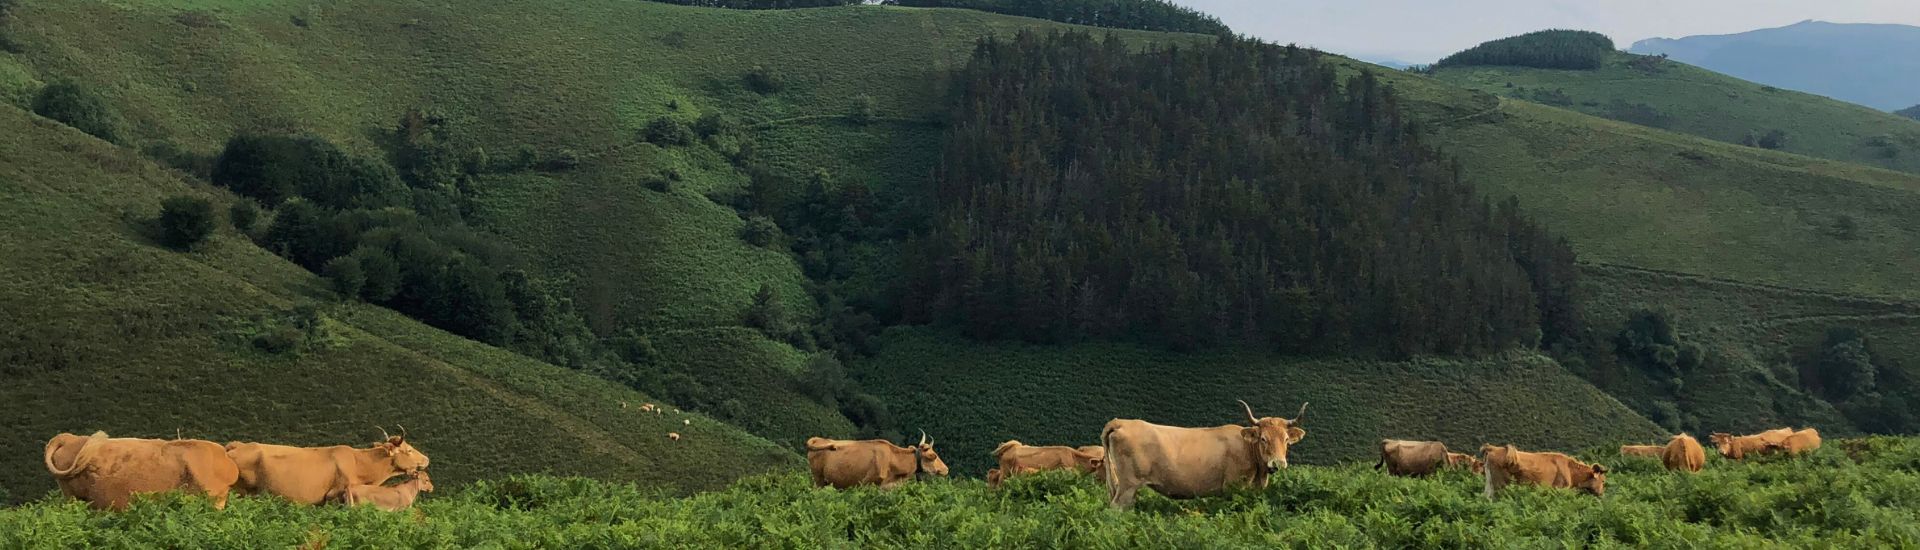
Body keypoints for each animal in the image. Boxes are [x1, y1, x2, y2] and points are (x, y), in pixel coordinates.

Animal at [1098, 400, 1305, 511]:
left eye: (1286, 439)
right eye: (1263, 438)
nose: (1278, 463)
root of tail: (1121, 422)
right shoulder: (1232, 488)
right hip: (1128, 485)